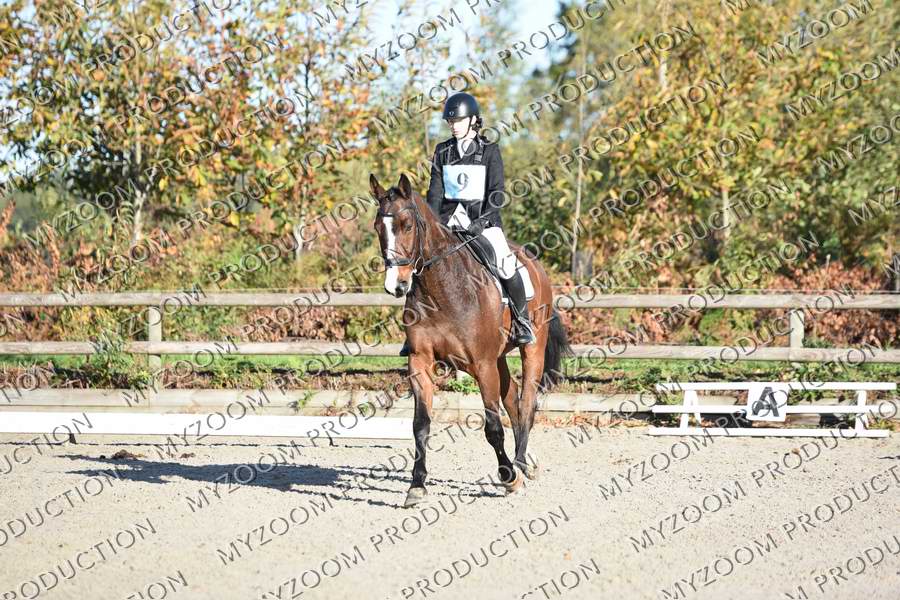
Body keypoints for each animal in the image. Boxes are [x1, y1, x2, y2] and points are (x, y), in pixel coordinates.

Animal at [369, 173, 572, 508]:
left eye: (407, 225)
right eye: (378, 227)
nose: (396, 285)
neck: (442, 288)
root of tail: (533, 263)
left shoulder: (482, 364)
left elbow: (492, 428)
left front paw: (509, 478)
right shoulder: (420, 361)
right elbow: (420, 425)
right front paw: (417, 486)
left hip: (531, 348)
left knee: (527, 401)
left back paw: (520, 464)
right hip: (499, 358)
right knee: (512, 399)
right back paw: (526, 461)